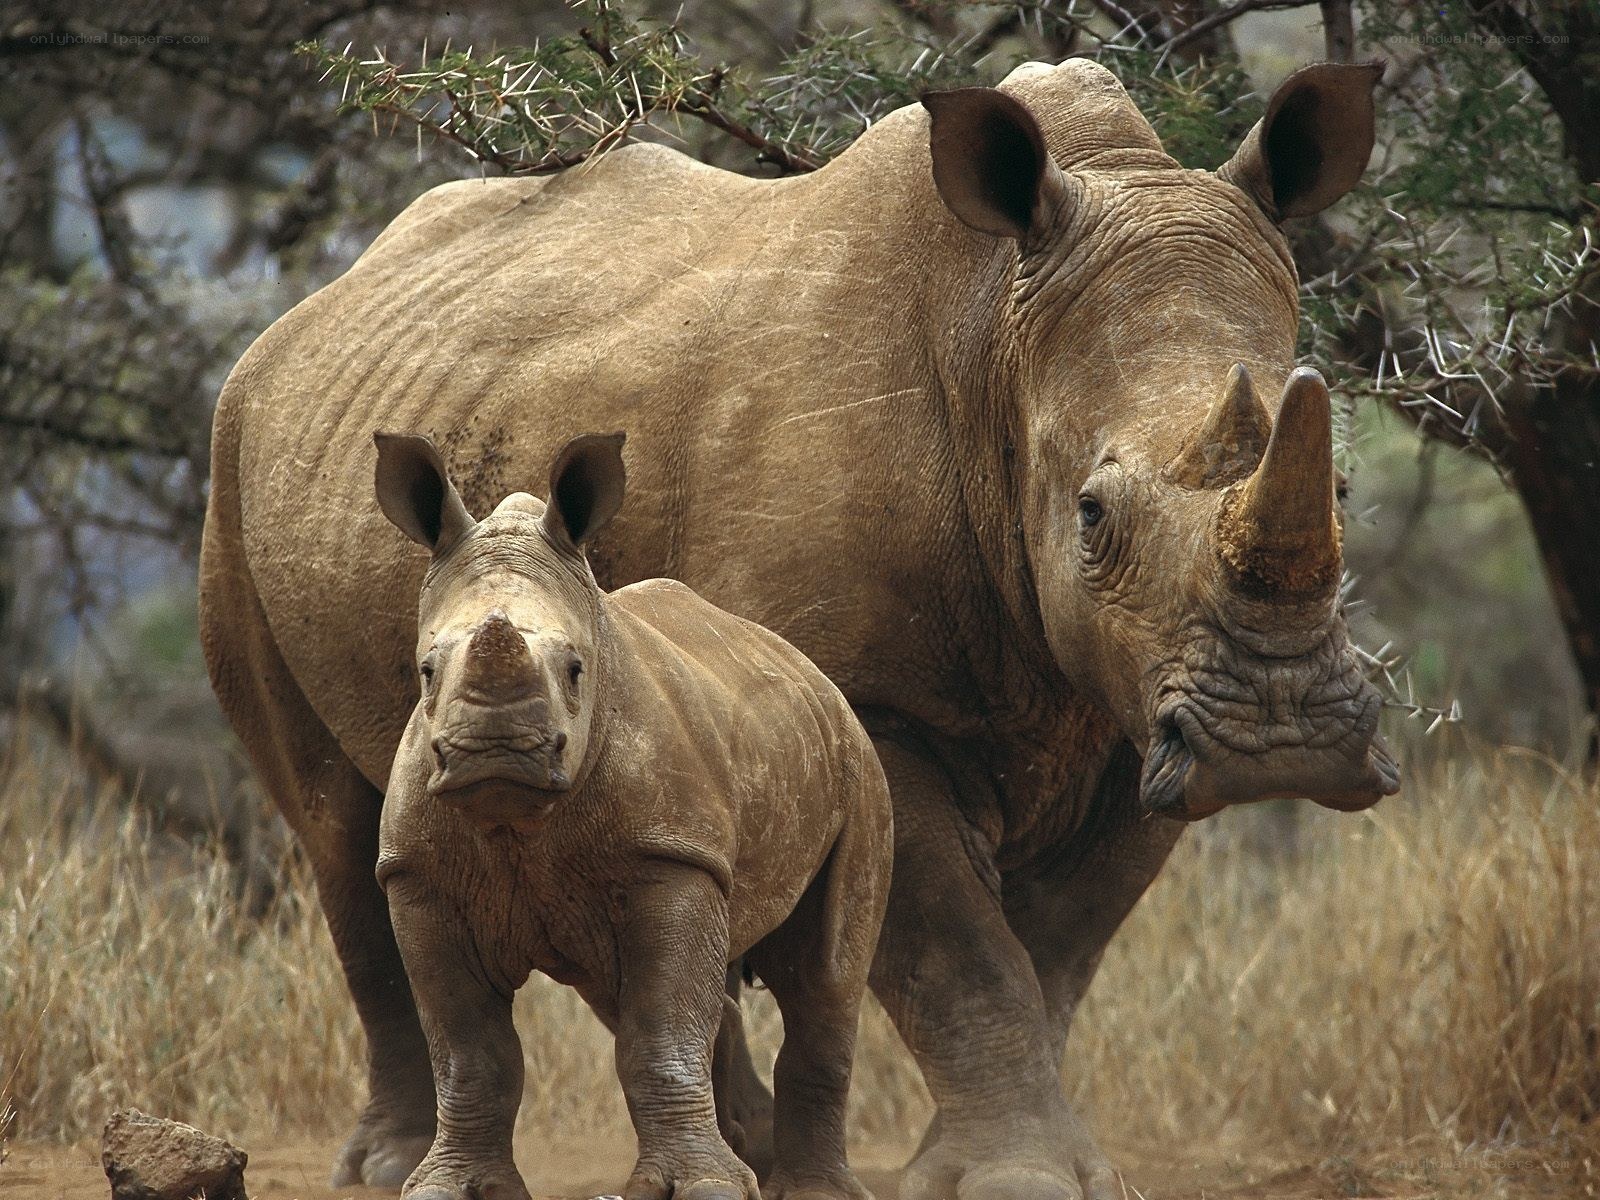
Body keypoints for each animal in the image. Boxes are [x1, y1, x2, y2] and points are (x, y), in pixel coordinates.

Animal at [372, 431, 890, 1200]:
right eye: (427, 670)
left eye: (576, 668)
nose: (496, 751)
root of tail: (811, 672)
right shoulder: (419, 878)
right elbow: (470, 1055)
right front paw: (446, 1189)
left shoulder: (670, 855)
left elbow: (660, 1035)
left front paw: (703, 1188)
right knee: (631, 994)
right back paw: (743, 1158)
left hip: (861, 766)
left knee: (822, 977)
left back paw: (807, 1189)